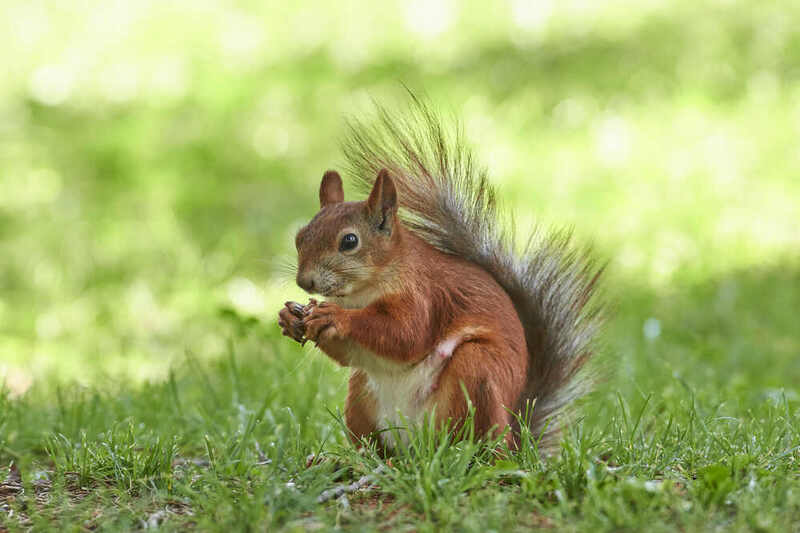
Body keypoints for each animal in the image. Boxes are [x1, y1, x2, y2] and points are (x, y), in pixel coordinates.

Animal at [277, 99, 603, 452]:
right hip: (361, 397)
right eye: (300, 237)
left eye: (349, 241)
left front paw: (334, 316)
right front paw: (290, 317)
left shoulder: (425, 296)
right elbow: (349, 355)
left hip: (477, 370)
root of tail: (515, 442)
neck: (363, 293)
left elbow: (406, 333)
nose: (305, 282)